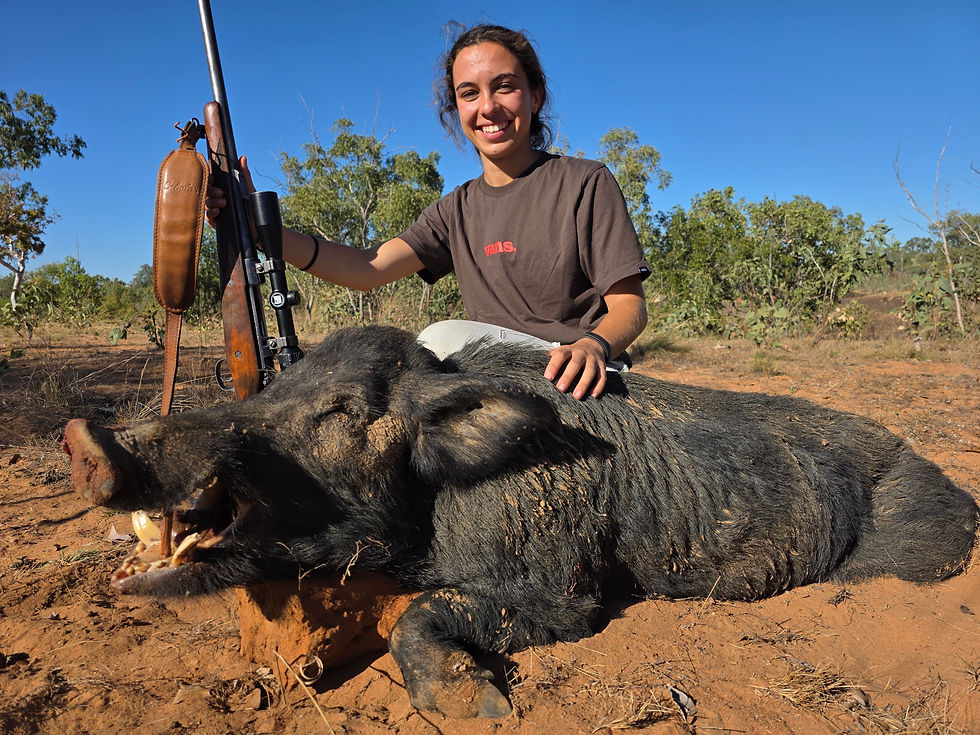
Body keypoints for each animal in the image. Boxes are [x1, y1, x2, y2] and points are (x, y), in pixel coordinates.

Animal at [63, 325, 978, 718]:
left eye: (343, 409)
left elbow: (418, 615)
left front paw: (481, 708)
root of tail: (961, 493)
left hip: (919, 544)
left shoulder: (560, 588)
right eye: (277, 383)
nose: (86, 436)